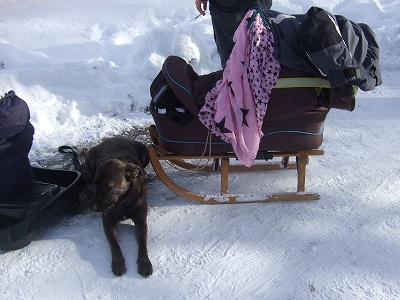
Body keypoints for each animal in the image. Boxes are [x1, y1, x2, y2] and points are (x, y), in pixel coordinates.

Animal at [81, 136, 152, 276]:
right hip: (90, 157)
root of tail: (113, 138)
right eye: (96, 184)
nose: (92, 207)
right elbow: (114, 244)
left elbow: (143, 243)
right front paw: (118, 262)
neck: (123, 201)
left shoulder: (141, 222)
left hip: (145, 153)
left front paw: (144, 262)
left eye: (108, 187)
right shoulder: (108, 223)